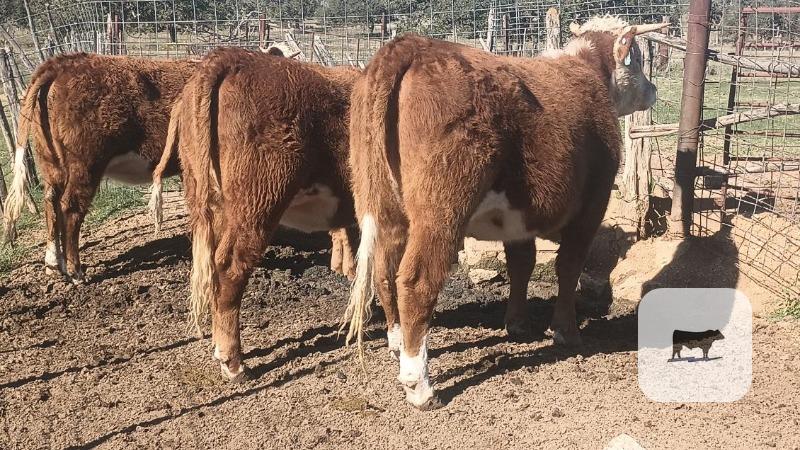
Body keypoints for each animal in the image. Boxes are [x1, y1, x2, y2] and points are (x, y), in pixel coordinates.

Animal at [342, 16, 667, 408]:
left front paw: (517, 324)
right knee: (416, 281)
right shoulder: (593, 204)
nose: (653, 90)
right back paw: (419, 385)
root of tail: (413, 45)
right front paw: (566, 332)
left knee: (384, 273)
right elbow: (568, 266)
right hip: (440, 212)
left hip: (384, 208)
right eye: (638, 59)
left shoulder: (518, 219)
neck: (588, 71)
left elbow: (521, 264)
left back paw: (396, 344)